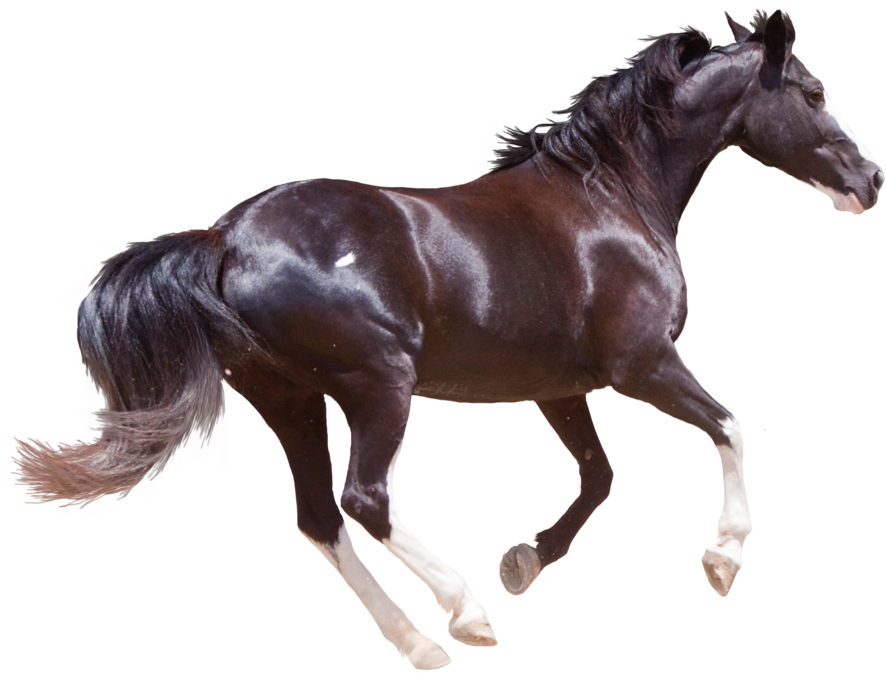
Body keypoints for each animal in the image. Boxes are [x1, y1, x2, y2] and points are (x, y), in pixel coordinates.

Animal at [10, 8, 881, 670]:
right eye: (813, 91)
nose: (872, 182)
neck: (612, 195)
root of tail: (225, 239)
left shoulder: (559, 390)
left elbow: (600, 476)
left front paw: (524, 562)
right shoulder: (643, 366)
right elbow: (729, 427)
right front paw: (724, 558)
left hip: (288, 399)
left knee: (319, 518)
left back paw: (420, 646)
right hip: (378, 385)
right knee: (365, 500)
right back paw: (463, 614)